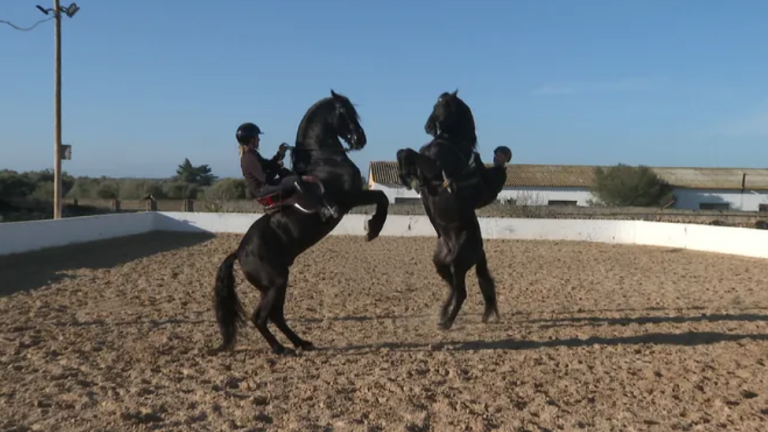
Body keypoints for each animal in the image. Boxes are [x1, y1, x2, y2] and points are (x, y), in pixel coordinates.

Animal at [212, 90, 389, 356]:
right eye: (344, 112)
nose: (360, 140)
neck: (324, 158)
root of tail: (239, 253)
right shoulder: (350, 197)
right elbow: (382, 198)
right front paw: (373, 229)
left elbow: (382, 197)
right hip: (274, 283)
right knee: (260, 318)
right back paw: (280, 349)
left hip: (279, 282)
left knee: (276, 316)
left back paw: (301, 343)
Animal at [396, 90, 500, 330]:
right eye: (435, 104)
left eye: (442, 107)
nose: (427, 127)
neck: (450, 142)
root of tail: (479, 250)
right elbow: (402, 152)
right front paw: (405, 176)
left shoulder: (432, 167)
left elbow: (407, 152)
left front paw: (406, 176)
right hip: (440, 263)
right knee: (453, 288)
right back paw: (443, 314)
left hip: (458, 264)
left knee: (461, 292)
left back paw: (447, 323)